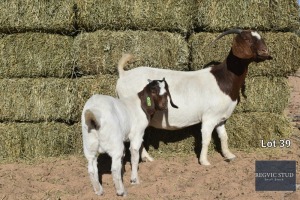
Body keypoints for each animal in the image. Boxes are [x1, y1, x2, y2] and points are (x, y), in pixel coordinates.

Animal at [116, 28, 274, 166]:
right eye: (247, 39)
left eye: (261, 37)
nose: (265, 51)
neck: (223, 79)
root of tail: (124, 74)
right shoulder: (209, 117)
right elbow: (206, 139)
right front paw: (204, 161)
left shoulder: (221, 118)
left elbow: (224, 137)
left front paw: (229, 155)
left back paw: (146, 158)